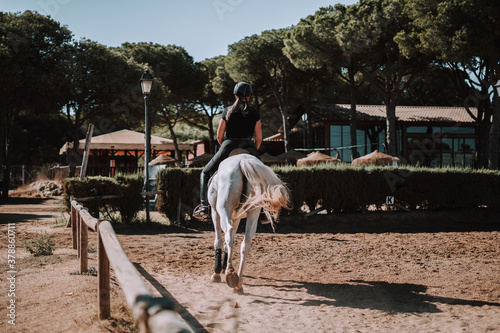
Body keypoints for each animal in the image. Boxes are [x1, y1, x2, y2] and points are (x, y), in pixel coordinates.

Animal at [208, 152, 290, 292]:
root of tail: (243, 161)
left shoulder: (215, 213)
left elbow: (219, 241)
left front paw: (217, 272)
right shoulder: (236, 218)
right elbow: (227, 244)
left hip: (223, 210)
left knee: (229, 233)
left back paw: (230, 273)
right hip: (253, 213)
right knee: (245, 243)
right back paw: (238, 282)